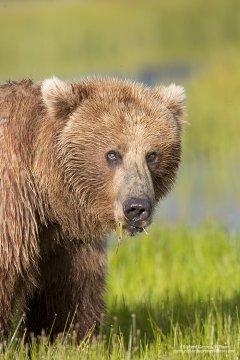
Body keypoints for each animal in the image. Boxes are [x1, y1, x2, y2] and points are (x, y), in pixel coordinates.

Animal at [0, 76, 186, 340]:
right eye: (112, 154)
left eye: (152, 154)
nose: (137, 207)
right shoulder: (14, 204)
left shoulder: (65, 235)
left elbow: (70, 288)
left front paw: (66, 336)